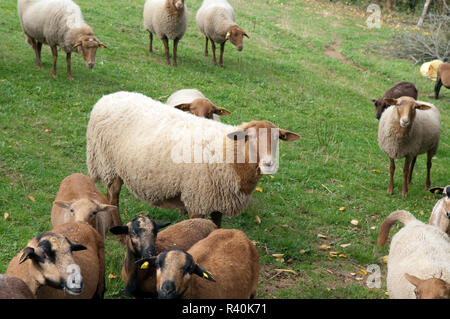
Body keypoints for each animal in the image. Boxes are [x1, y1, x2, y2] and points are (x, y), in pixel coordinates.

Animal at [86, 91, 300, 229]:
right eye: (250, 138)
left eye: (278, 139)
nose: (268, 164)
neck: (229, 153)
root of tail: (107, 98)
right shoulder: (198, 198)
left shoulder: (218, 201)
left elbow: (216, 228)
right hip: (108, 164)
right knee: (113, 197)